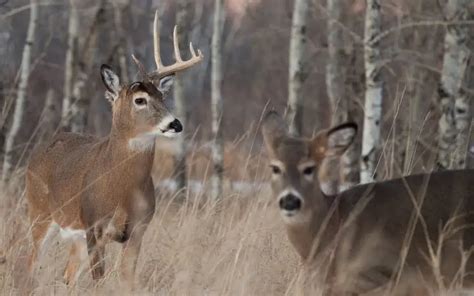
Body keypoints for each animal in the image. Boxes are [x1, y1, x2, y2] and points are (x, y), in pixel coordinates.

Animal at [25, 10, 204, 286]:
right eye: (140, 100)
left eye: (162, 97)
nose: (175, 123)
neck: (121, 190)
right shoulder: (94, 226)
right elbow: (98, 280)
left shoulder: (139, 229)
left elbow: (127, 280)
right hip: (39, 213)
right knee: (28, 266)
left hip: (72, 236)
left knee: (67, 276)